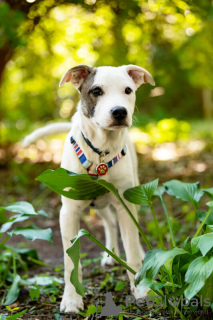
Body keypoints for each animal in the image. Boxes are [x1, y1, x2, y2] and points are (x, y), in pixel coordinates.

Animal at [23, 64, 154, 312]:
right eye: (96, 91)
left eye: (128, 90)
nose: (120, 112)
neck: (100, 153)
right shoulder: (68, 213)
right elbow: (70, 262)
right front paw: (72, 300)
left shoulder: (124, 204)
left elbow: (131, 248)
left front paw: (141, 289)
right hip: (98, 202)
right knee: (109, 223)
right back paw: (110, 254)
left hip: (130, 194)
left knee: (127, 226)